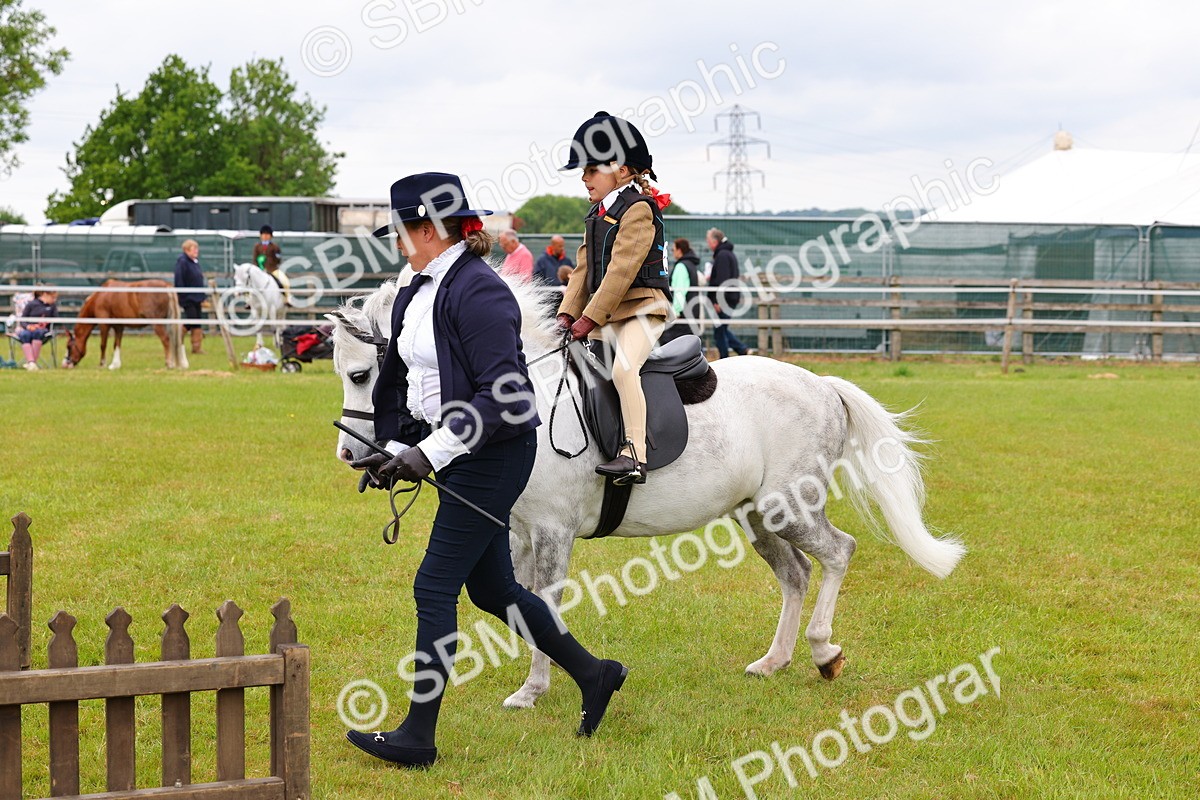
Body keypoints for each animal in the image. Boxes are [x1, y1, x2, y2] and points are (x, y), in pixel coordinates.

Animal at [328, 275, 965, 709]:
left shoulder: (553, 532)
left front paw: (534, 689)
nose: (353, 456)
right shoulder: (517, 531)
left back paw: (824, 651)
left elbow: (545, 603)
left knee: (838, 554)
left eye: (363, 374)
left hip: (790, 506)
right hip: (757, 515)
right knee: (796, 574)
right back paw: (774, 660)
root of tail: (823, 385)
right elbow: (519, 603)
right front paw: (535, 682)